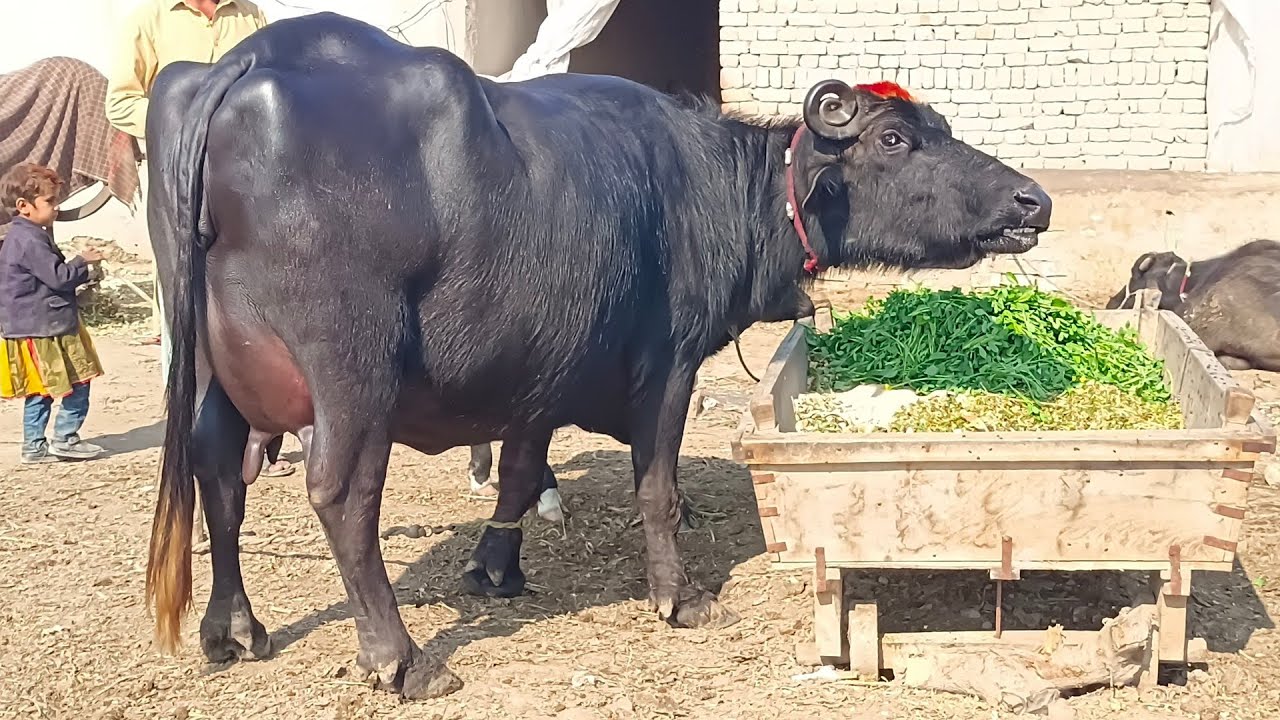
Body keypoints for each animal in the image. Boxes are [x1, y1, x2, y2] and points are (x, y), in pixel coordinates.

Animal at [142, 13, 1052, 700]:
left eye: (937, 129)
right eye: (895, 137)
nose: (1031, 200)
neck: (710, 188)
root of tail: (244, 66)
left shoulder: (538, 371)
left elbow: (518, 471)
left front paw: (496, 570)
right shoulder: (669, 365)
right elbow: (658, 489)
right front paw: (679, 598)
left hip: (211, 368)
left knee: (216, 468)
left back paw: (233, 627)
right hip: (352, 371)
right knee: (341, 496)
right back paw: (400, 660)